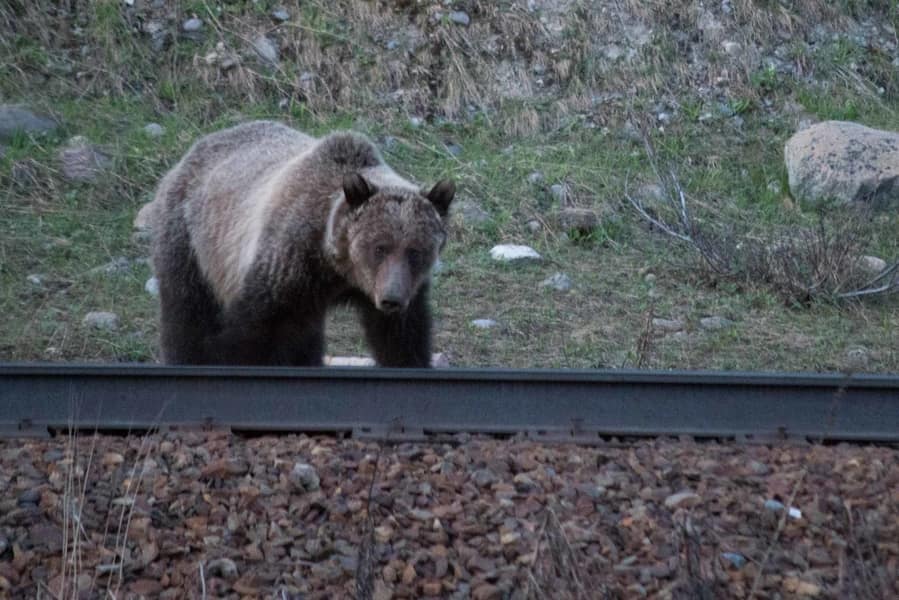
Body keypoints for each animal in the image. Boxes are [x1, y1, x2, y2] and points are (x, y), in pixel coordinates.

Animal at [151, 119, 458, 366]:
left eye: (415, 251)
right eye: (379, 247)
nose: (391, 298)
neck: (337, 266)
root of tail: (194, 150)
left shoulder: (403, 289)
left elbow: (402, 339)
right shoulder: (288, 265)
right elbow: (252, 332)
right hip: (191, 241)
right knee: (187, 314)